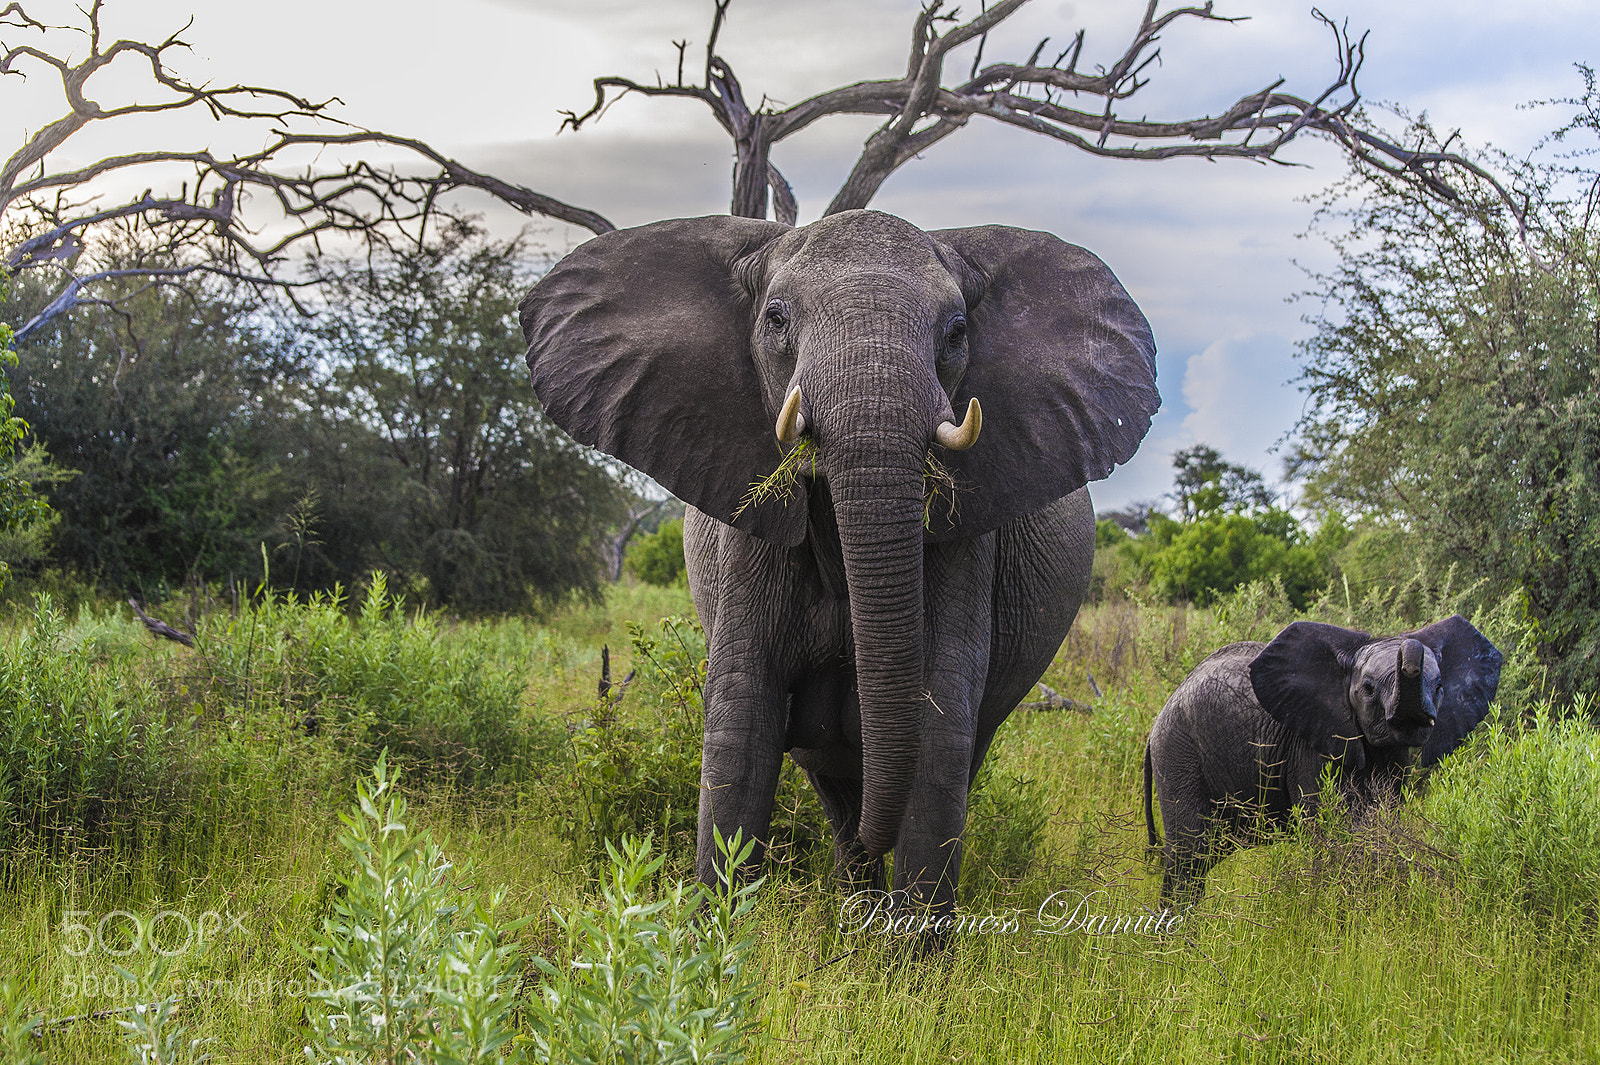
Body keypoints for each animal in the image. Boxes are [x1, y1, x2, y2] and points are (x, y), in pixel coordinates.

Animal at [519, 209, 1159, 922]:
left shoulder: (966, 542)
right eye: (775, 319)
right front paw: (716, 934)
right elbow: (742, 720)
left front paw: (913, 949)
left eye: (957, 331)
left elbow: (938, 722)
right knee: (832, 779)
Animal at [1144, 615, 1503, 905]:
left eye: (1440, 687)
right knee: (1191, 856)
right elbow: (1331, 831)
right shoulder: (1311, 745)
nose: (1409, 643)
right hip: (1179, 755)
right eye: (1368, 688)